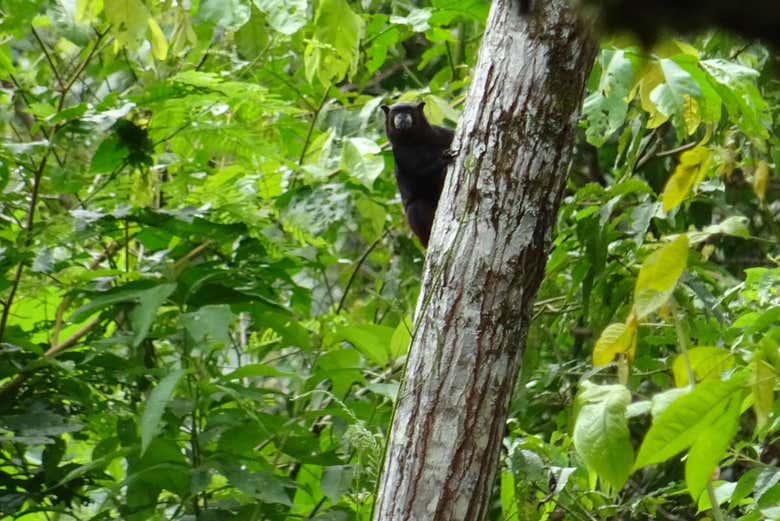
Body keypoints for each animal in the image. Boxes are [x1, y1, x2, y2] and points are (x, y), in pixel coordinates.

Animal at [381, 102, 455, 247]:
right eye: (395, 112)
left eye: (408, 110)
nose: (402, 116)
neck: (414, 140)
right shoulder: (400, 153)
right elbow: (419, 172)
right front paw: (443, 160)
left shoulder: (440, 134)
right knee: (415, 208)